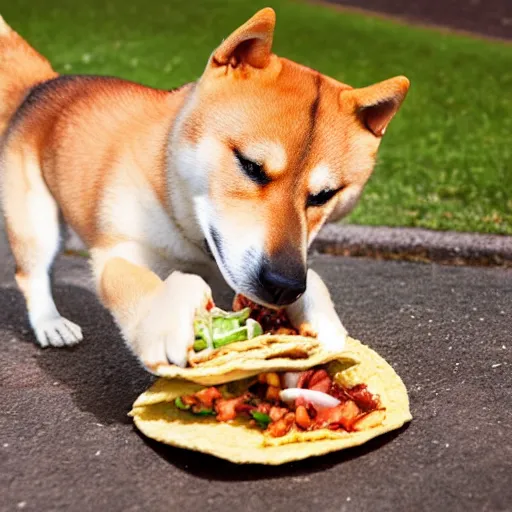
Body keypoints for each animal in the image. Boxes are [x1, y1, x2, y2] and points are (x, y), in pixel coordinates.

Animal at [0, 7, 408, 368]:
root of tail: (42, 85)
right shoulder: (118, 252)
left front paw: (325, 324)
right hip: (36, 222)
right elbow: (138, 284)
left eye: (324, 195)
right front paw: (162, 322)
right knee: (31, 273)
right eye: (251, 166)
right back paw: (50, 322)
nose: (283, 284)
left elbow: (313, 285)